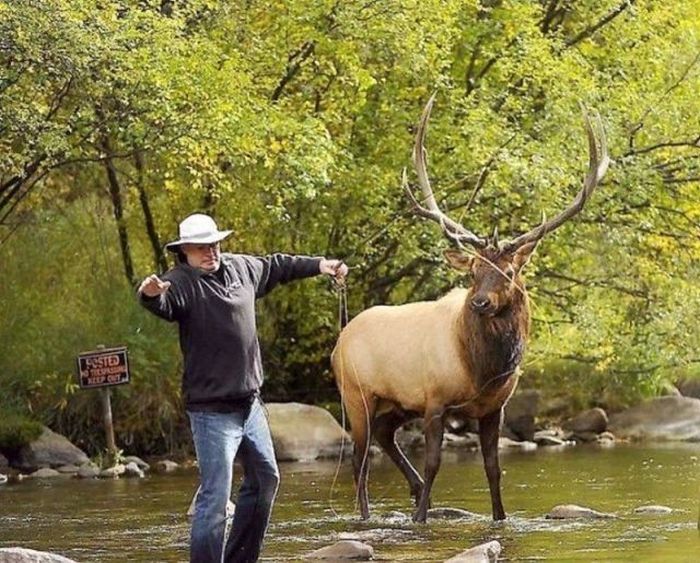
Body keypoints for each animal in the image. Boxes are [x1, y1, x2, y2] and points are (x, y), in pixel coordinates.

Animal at [330, 97, 608, 524]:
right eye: (474, 271)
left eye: (509, 271)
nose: (480, 302)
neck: (481, 369)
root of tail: (338, 343)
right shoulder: (435, 401)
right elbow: (433, 463)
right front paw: (420, 517)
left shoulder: (494, 408)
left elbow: (494, 468)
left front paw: (499, 517)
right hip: (356, 394)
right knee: (359, 460)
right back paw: (369, 514)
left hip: (398, 402)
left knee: (384, 435)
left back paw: (410, 490)